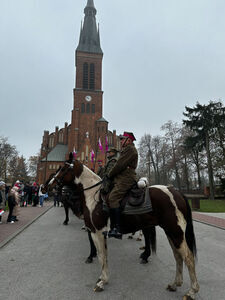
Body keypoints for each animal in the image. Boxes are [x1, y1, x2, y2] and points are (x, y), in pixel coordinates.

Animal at [45, 157, 199, 300]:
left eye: (63, 169)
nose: (49, 186)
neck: (93, 195)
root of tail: (175, 191)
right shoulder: (99, 232)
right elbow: (104, 255)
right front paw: (102, 277)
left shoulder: (97, 232)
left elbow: (101, 256)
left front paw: (102, 281)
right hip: (170, 232)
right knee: (178, 256)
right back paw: (175, 284)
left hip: (176, 232)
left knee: (188, 257)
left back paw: (191, 291)